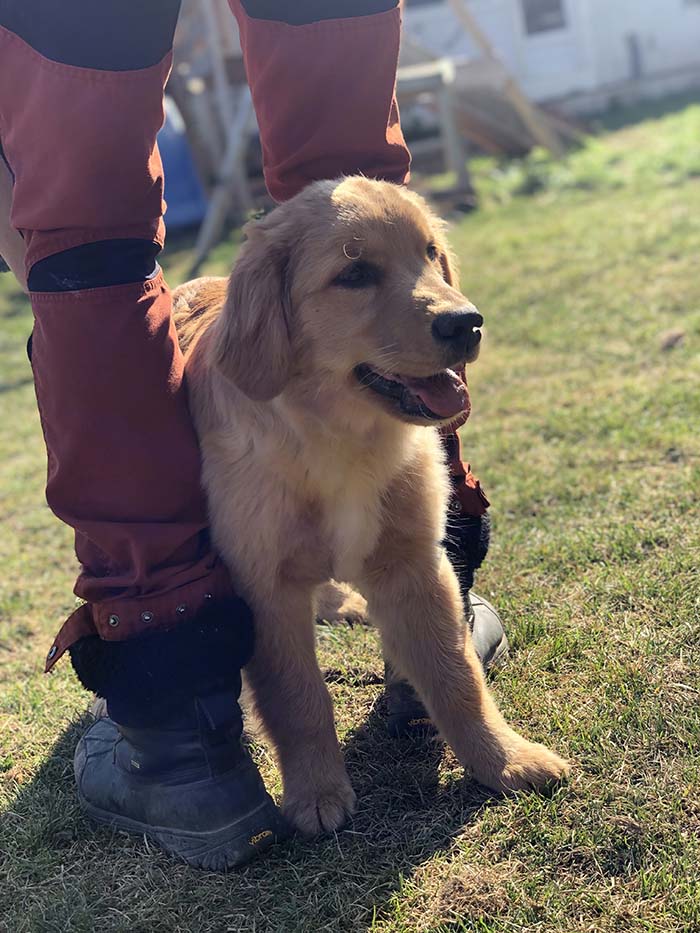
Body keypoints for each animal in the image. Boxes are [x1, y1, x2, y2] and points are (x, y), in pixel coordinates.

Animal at [174, 178, 568, 832]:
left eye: (430, 253)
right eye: (354, 274)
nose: (468, 323)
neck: (339, 442)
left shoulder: (414, 564)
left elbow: (456, 676)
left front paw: (505, 760)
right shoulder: (265, 586)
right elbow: (297, 696)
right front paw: (315, 793)